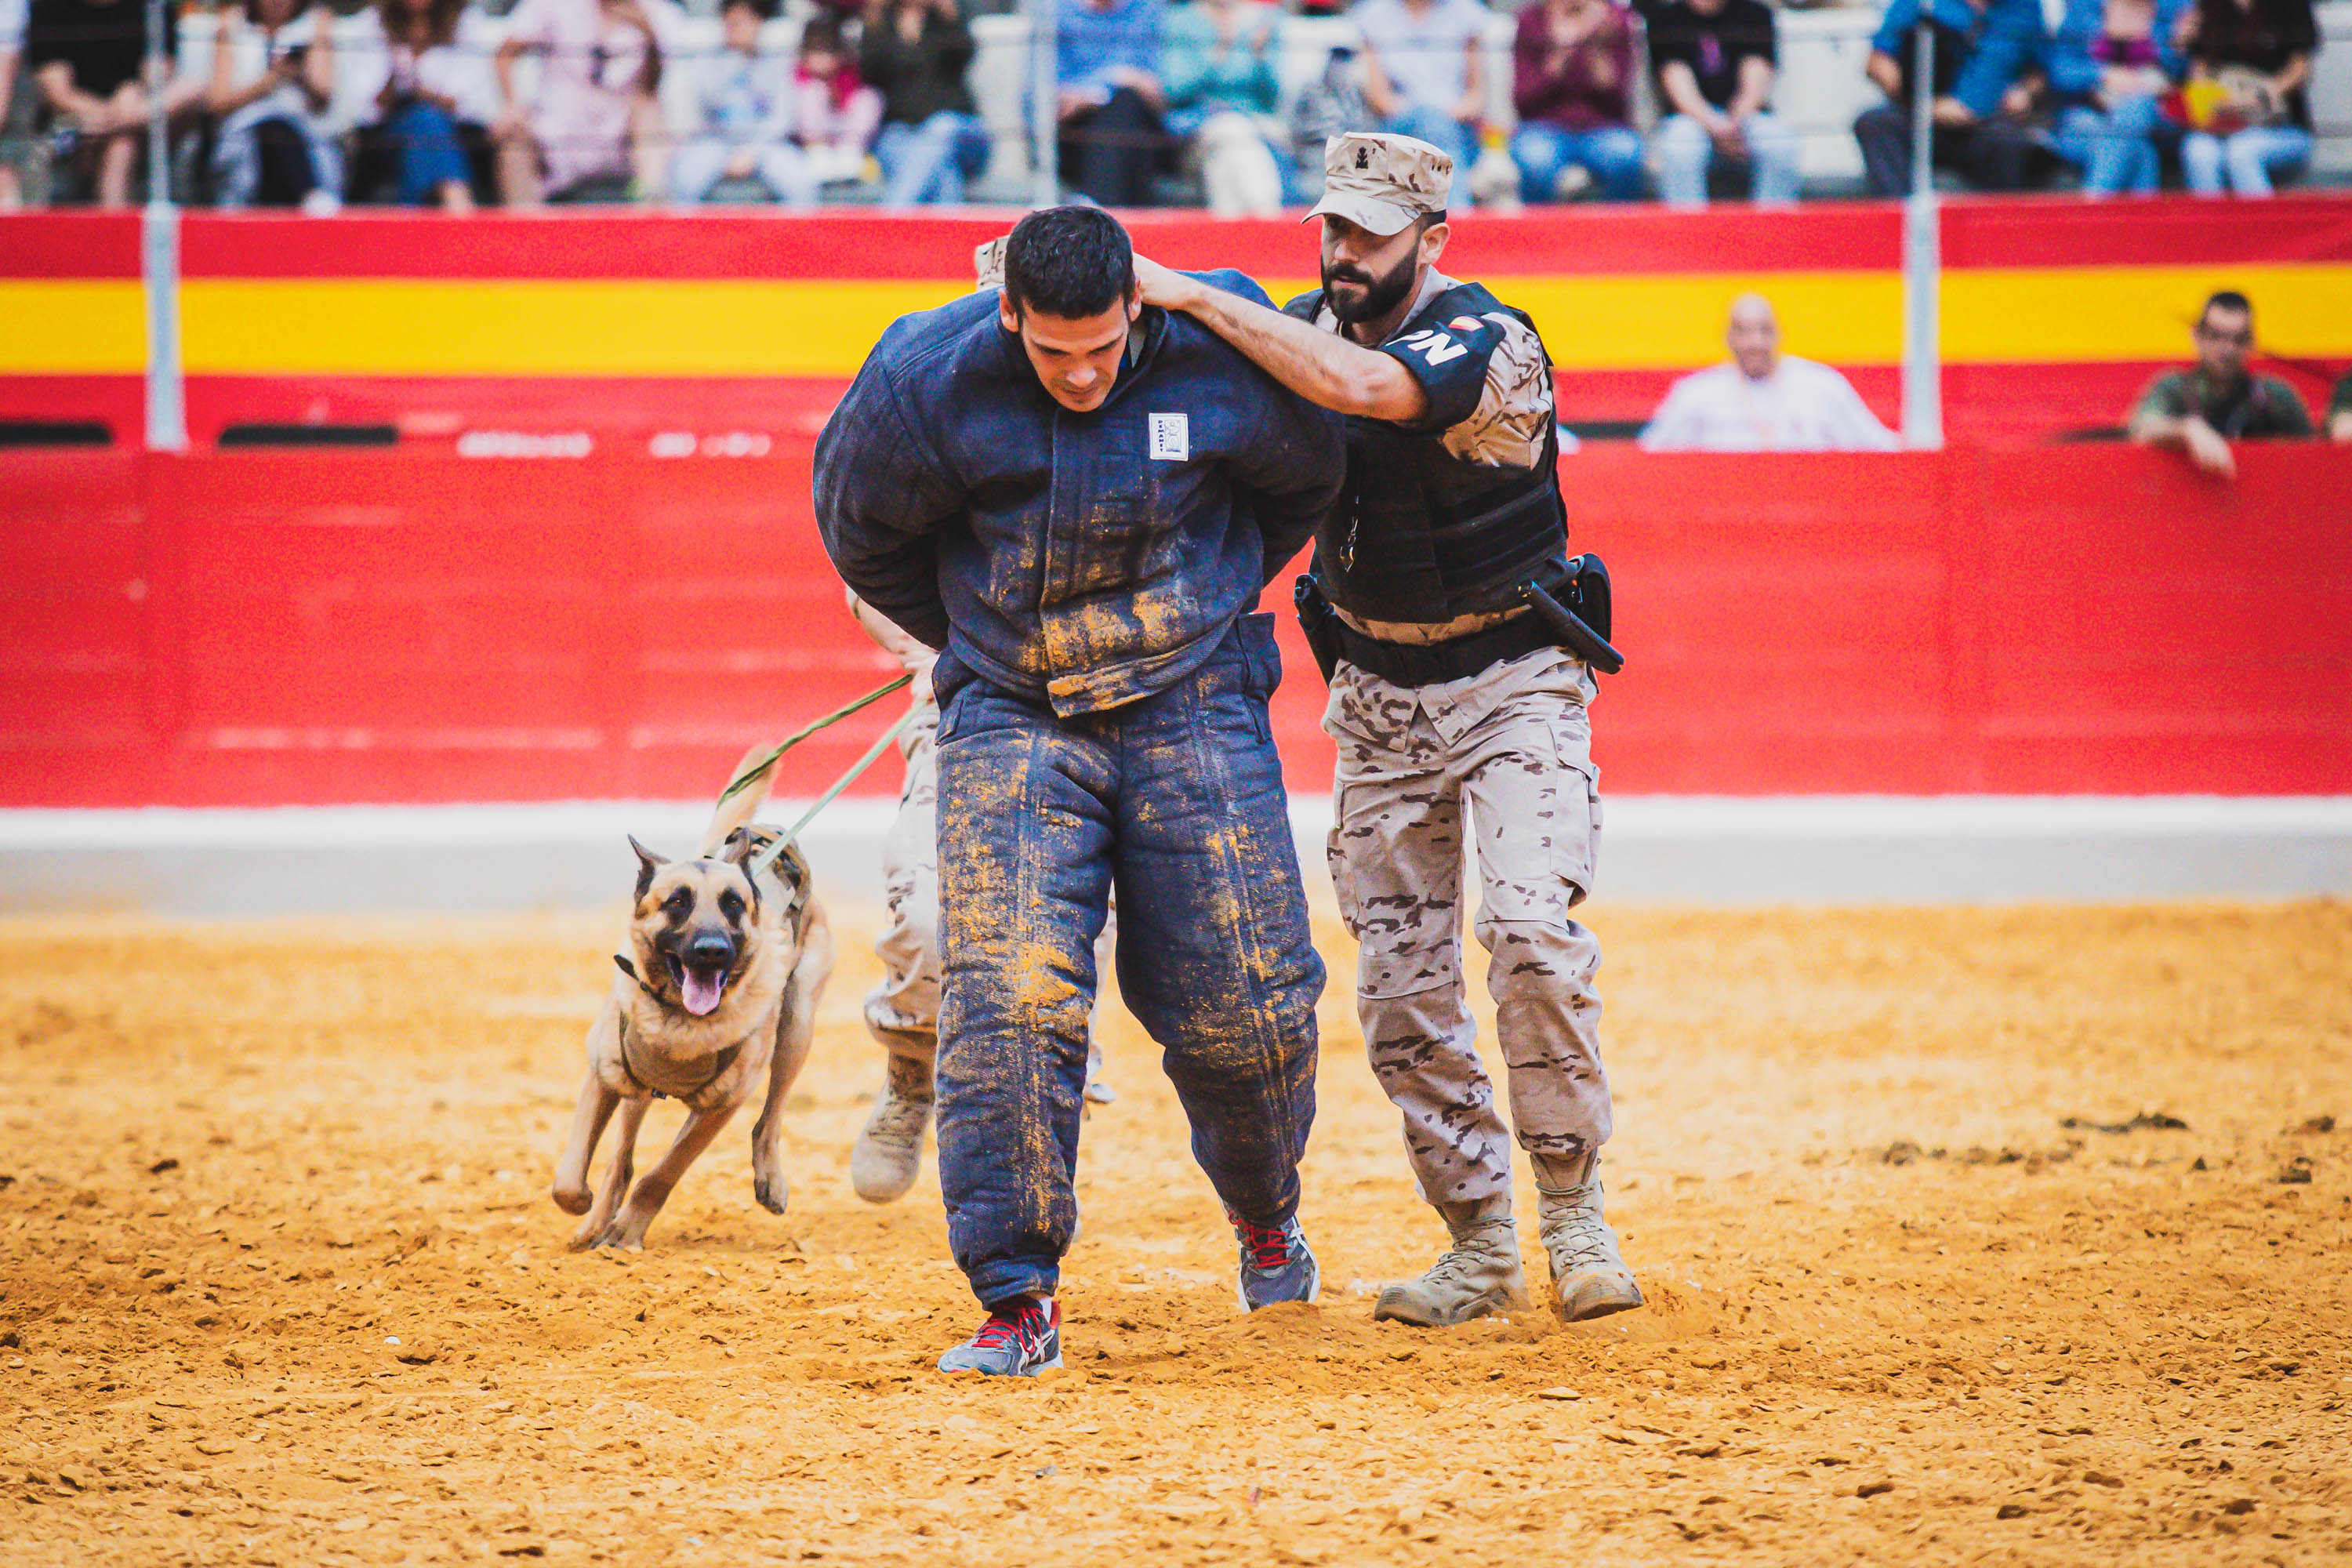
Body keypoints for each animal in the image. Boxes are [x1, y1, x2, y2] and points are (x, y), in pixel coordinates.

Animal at [553, 752, 837, 1260]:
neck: (679, 1022)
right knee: (621, 1157)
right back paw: (599, 1217)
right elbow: (570, 1177)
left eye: (733, 905)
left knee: (770, 1118)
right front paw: (588, 1212)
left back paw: (770, 1178)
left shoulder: (718, 1109)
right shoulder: (604, 1076)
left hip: (796, 1028)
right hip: (635, 1090)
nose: (710, 951)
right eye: (677, 902)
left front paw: (627, 1231)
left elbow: (662, 1173)